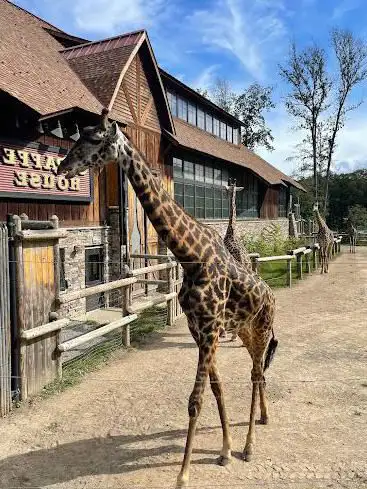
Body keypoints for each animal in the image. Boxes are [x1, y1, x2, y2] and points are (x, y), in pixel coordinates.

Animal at [56, 110, 278, 488]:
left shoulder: (210, 329)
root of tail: (271, 296)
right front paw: (224, 450)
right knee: (258, 372)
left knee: (256, 375)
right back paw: (262, 420)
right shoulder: (198, 329)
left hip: (261, 329)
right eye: (78, 134)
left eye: (95, 138)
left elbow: (195, 400)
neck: (190, 256)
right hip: (246, 332)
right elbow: (216, 388)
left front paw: (184, 474)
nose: (63, 167)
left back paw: (250, 446)